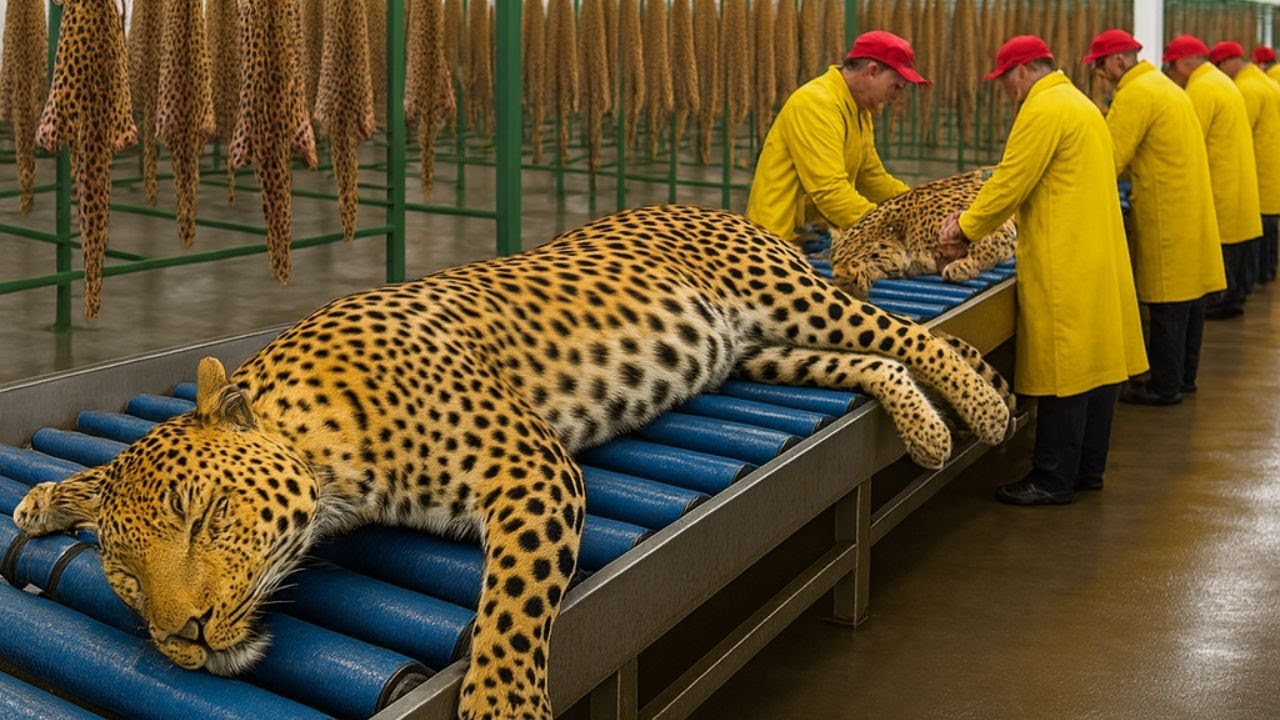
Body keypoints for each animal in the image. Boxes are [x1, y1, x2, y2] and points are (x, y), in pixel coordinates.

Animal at [15, 205, 1014, 720]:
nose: (183, 636)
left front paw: (500, 706)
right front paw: (47, 497)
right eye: (126, 580)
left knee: (905, 332)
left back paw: (987, 407)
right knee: (874, 359)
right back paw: (927, 431)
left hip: (788, 299)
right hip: (757, 350)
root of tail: (713, 206)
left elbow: (510, 615)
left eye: (203, 516)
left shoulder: (532, 470)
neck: (320, 449)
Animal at [826, 168, 1018, 298]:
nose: (838, 279)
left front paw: (962, 266)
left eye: (855, 256)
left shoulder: (997, 224)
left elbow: (982, 245)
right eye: (834, 261)